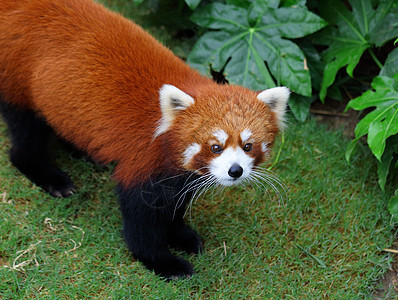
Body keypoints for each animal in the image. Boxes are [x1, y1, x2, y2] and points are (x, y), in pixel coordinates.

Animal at [0, 0, 288, 278]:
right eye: (216, 147)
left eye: (248, 146)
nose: (235, 171)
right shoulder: (142, 158)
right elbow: (142, 218)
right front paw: (162, 262)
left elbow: (174, 205)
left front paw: (180, 235)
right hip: (18, 78)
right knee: (25, 134)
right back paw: (49, 176)